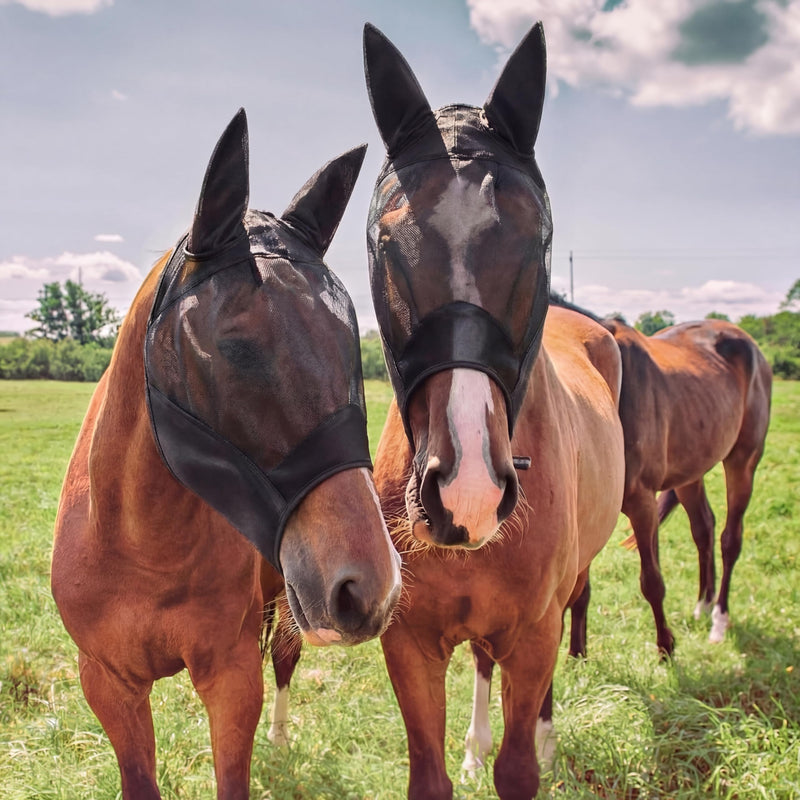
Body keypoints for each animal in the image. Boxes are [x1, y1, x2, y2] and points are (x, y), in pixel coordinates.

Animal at [51, 109, 401, 800]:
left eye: (351, 341)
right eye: (235, 347)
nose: (370, 586)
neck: (141, 543)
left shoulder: (231, 678)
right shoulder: (107, 684)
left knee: (286, 661)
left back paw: (283, 738)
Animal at [363, 23, 626, 800]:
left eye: (537, 239)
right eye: (387, 242)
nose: (467, 490)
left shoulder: (534, 634)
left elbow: (520, 767)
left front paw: (529, 746)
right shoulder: (409, 644)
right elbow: (430, 772)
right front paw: (471, 753)